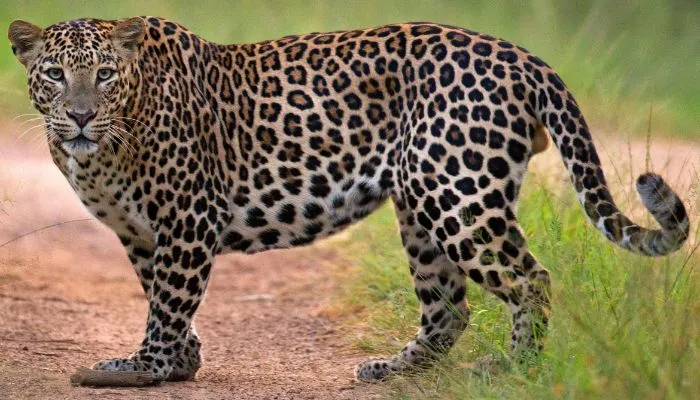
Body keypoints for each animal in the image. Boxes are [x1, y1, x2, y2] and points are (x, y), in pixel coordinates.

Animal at [8, 16, 689, 384]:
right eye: (54, 75)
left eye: (103, 75)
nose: (79, 116)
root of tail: (522, 57)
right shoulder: (141, 233)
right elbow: (162, 296)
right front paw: (180, 363)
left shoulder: (190, 217)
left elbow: (170, 301)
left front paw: (143, 368)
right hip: (421, 205)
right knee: (449, 309)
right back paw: (391, 370)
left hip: (457, 193)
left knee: (531, 279)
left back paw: (514, 370)